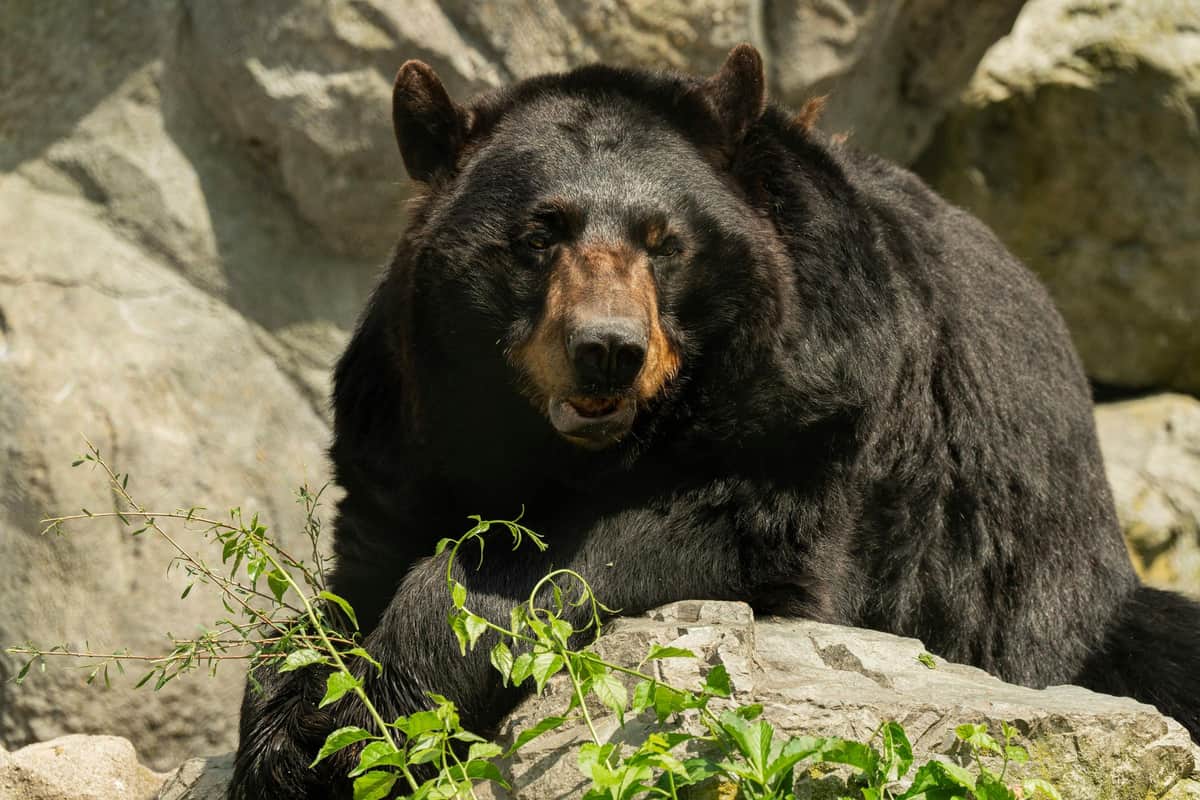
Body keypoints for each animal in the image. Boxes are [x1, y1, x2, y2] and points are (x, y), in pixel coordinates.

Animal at [229, 45, 1200, 799]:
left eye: (664, 240)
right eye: (540, 233)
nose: (607, 349)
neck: (581, 447)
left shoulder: (814, 400)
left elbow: (655, 543)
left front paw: (377, 708)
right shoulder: (405, 424)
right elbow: (350, 576)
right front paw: (285, 729)